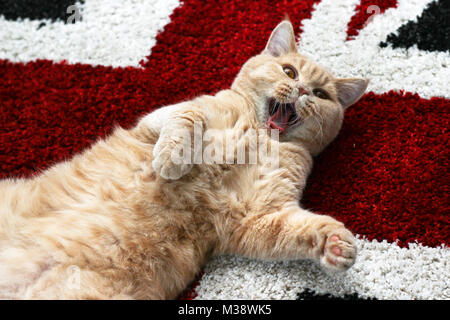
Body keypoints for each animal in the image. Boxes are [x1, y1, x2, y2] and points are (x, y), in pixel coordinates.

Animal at [0, 21, 370, 298]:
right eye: (289, 72)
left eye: (321, 94)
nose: (305, 92)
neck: (259, 134)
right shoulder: (157, 121)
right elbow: (190, 117)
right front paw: (173, 158)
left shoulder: (258, 216)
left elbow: (302, 228)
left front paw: (338, 245)